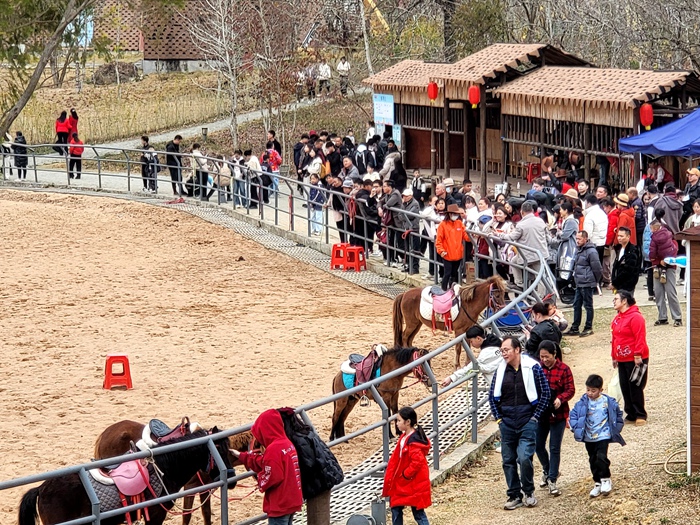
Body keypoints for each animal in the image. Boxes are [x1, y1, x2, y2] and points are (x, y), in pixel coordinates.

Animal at [95, 420, 252, 525]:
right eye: (220, 450)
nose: (232, 480)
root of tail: (103, 435)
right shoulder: (190, 488)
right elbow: (187, 515)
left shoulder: (205, 489)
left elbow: (206, 514)